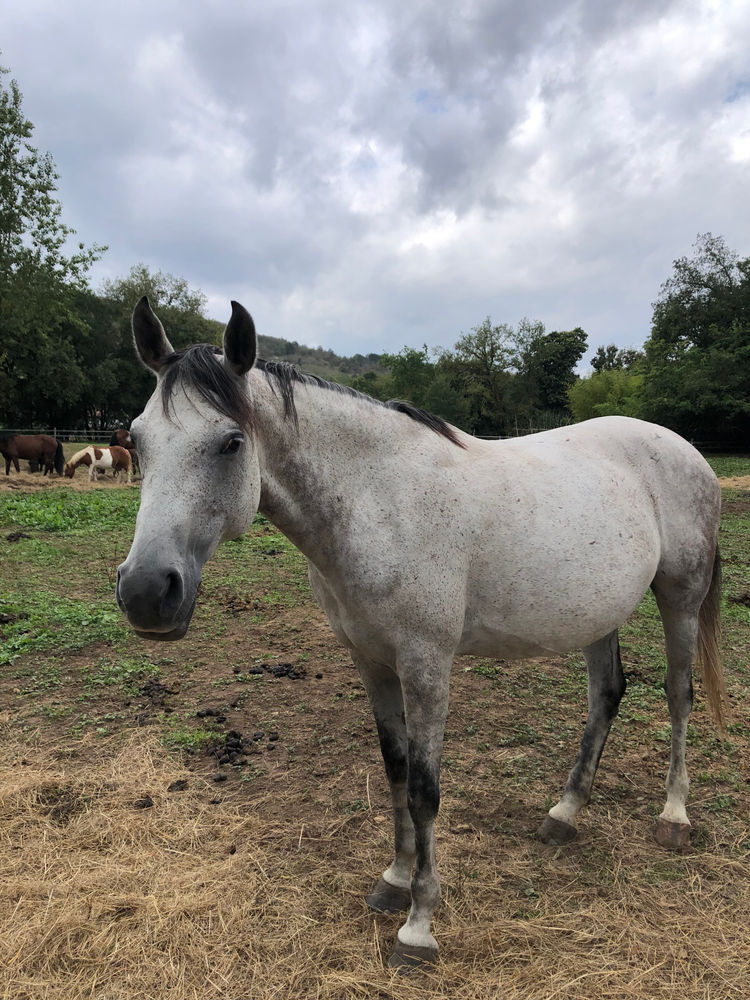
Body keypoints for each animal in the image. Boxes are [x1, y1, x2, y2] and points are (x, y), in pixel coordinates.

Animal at [116, 297, 726, 970]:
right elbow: (395, 772)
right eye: (136, 440)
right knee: (605, 696)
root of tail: (685, 449)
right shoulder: (372, 662)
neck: (381, 504)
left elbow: (425, 790)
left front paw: (419, 925)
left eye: (230, 443)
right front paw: (394, 880)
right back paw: (565, 813)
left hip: (680, 597)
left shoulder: (427, 666)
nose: (145, 592)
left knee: (678, 695)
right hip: (597, 612)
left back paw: (674, 816)